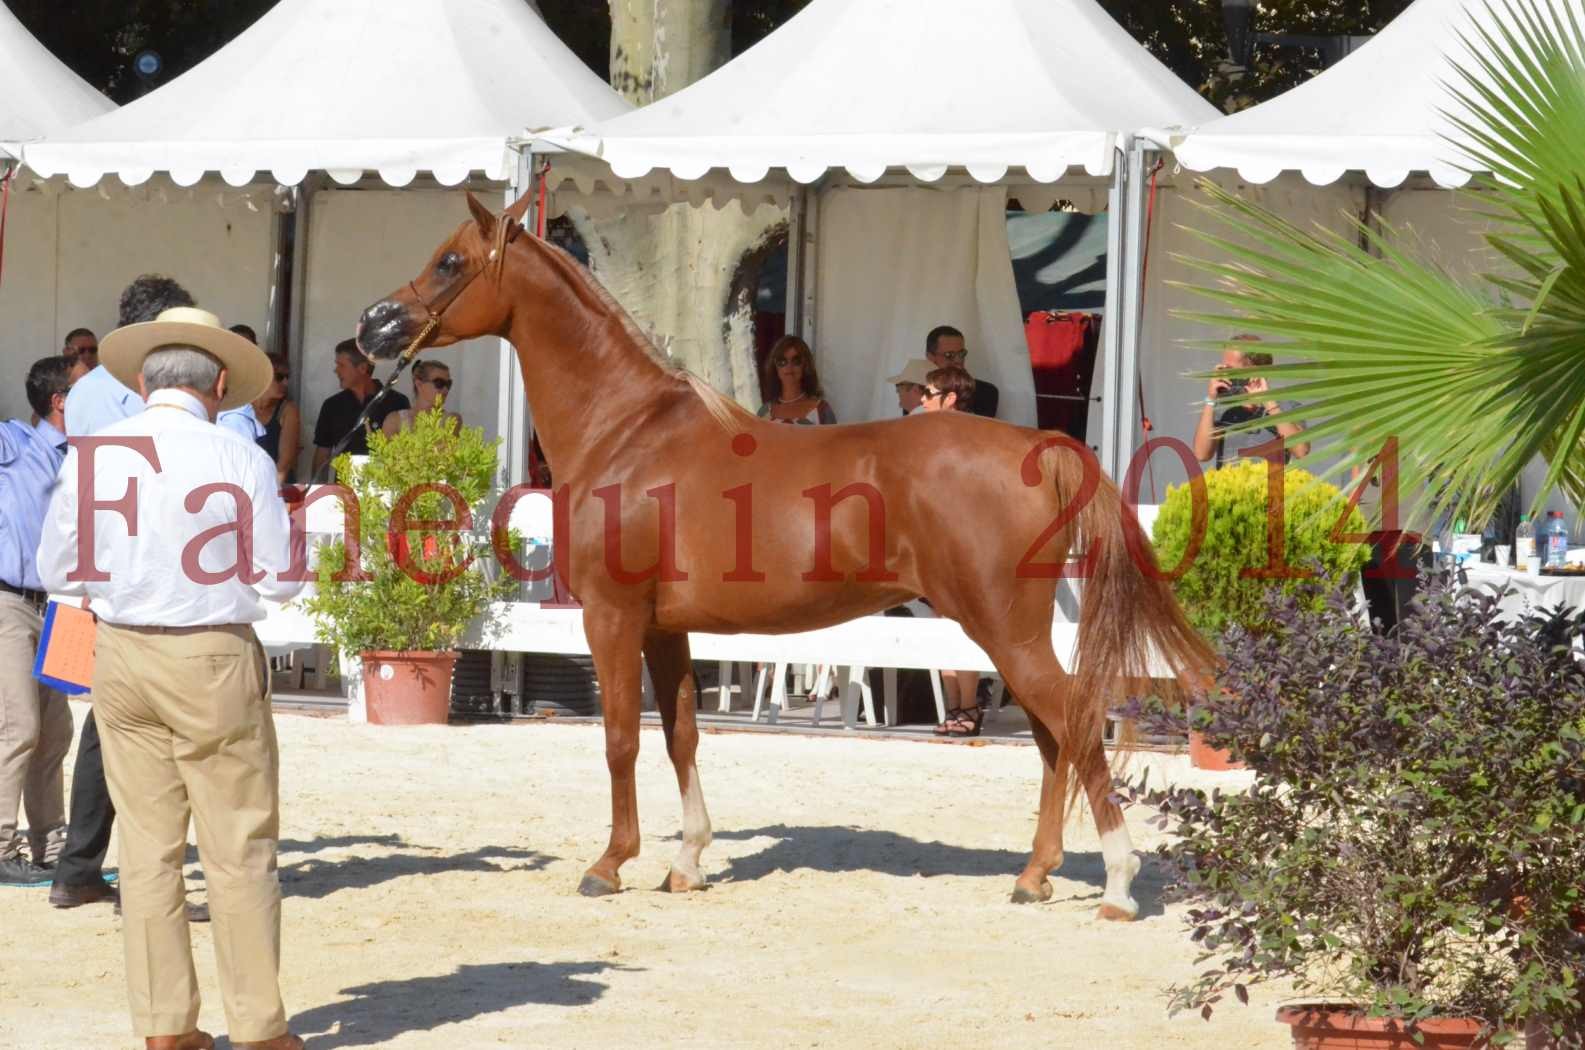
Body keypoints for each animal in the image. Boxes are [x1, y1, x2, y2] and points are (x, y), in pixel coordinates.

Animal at [359, 193, 1210, 919]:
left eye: (450, 261)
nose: (374, 324)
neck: (627, 432)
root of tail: (1039, 446)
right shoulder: (665, 628)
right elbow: (680, 735)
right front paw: (688, 863)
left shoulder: (611, 617)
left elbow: (619, 738)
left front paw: (609, 865)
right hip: (1008, 632)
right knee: (1049, 734)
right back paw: (1033, 877)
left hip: (1005, 629)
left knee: (1071, 723)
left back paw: (1117, 884)